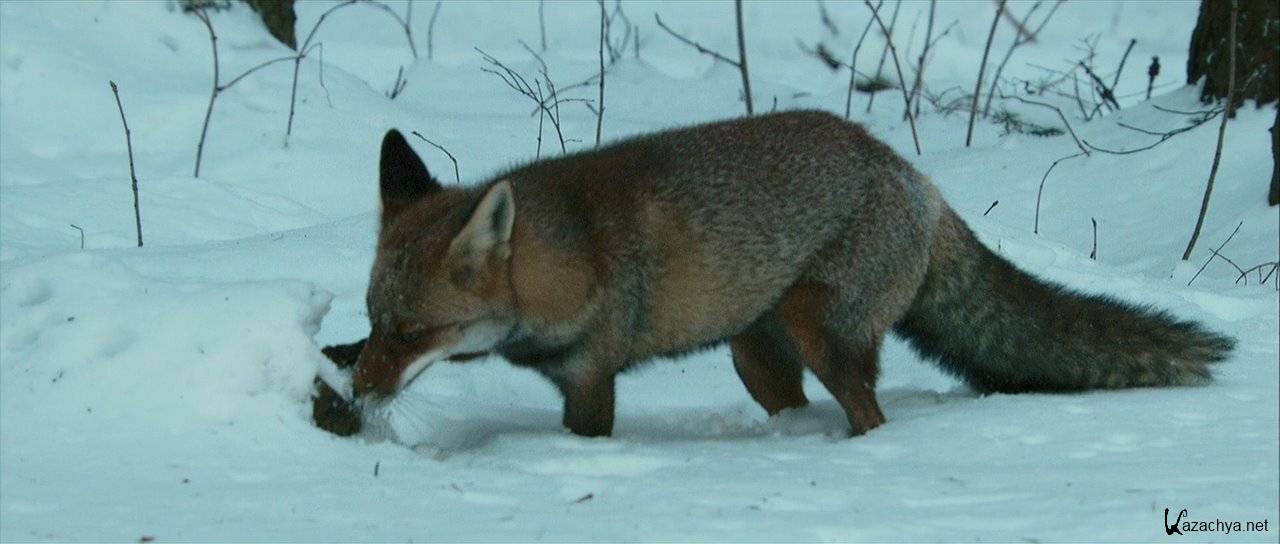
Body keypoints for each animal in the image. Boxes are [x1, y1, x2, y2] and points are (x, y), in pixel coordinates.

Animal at [345, 110, 1233, 437]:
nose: (356, 394)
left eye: (413, 332)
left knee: (870, 412)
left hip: (819, 330)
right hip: (756, 354)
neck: (567, 257)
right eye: (374, 324)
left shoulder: (593, 377)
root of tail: (915, 177)